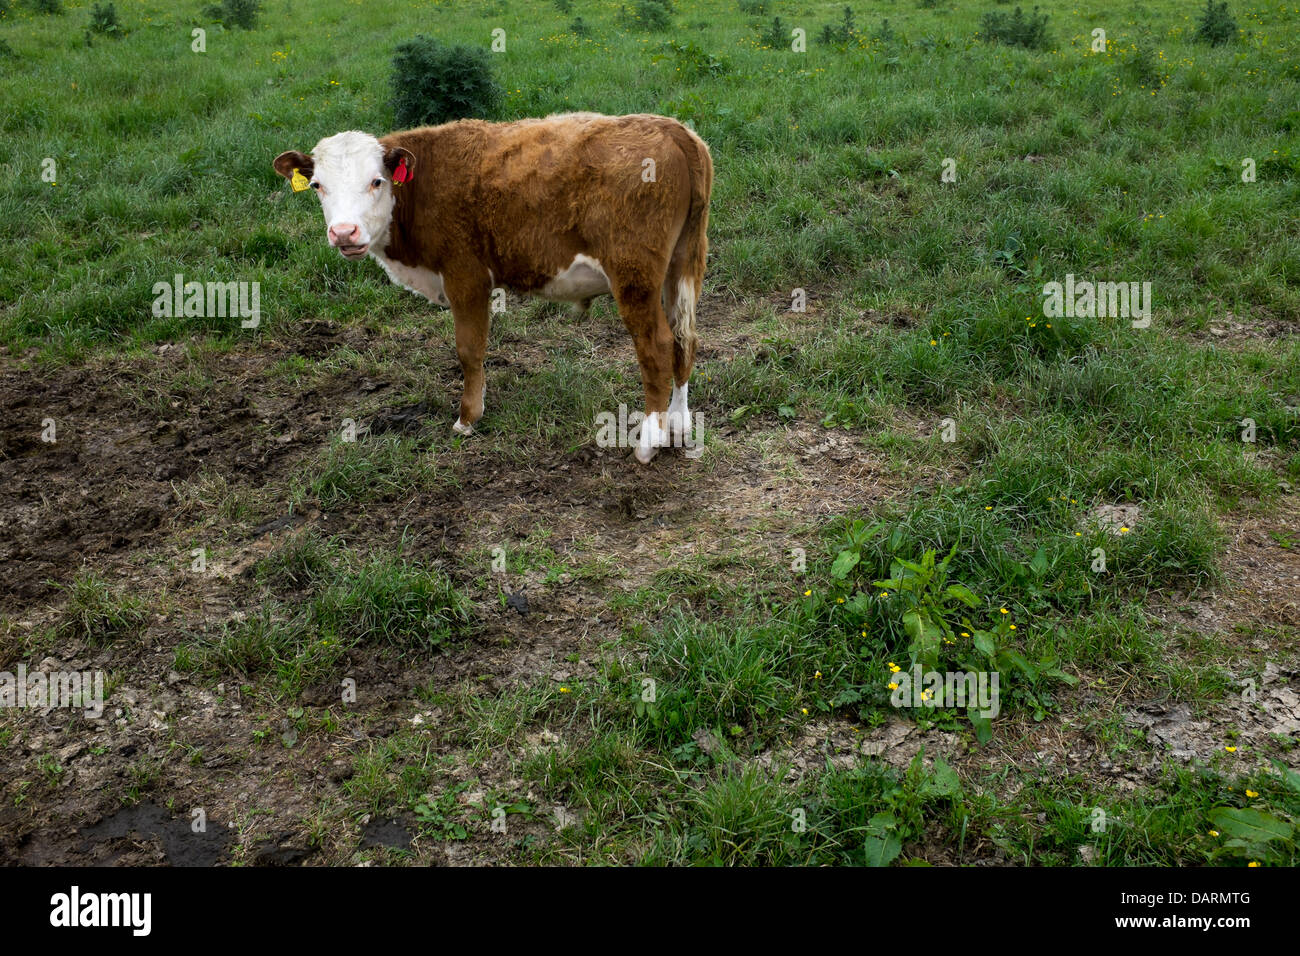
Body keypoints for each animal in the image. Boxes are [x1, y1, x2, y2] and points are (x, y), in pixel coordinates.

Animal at [273, 111, 712, 463]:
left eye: (377, 181)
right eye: (317, 185)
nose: (344, 232)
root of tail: (670, 128)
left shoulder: (465, 275)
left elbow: (469, 350)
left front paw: (468, 417)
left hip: (634, 275)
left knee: (656, 345)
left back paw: (649, 441)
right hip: (683, 263)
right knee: (683, 340)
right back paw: (679, 426)